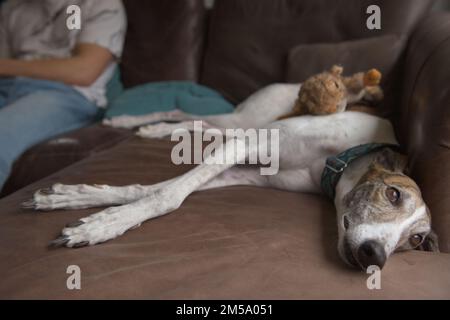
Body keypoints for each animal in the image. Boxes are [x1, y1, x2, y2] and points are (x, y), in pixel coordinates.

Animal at [22, 83, 438, 270]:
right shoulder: (251, 142)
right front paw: (99, 226)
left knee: (200, 126)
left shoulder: (249, 172)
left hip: (238, 128)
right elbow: (168, 195)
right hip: (248, 120)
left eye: (416, 240)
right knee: (186, 113)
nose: (375, 256)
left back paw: (153, 131)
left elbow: (151, 189)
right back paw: (129, 121)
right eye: (394, 195)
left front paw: (75, 200)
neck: (337, 162)